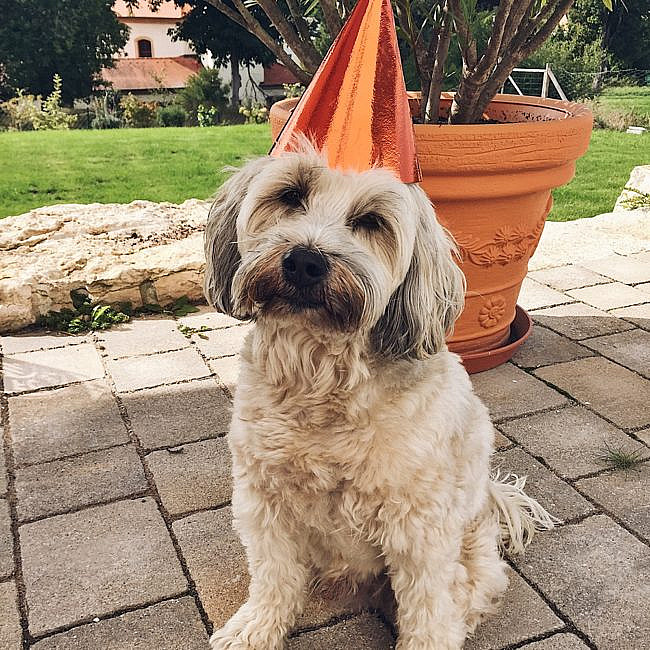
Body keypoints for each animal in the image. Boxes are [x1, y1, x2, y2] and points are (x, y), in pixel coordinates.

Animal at [203, 142, 555, 650]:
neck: (323, 378)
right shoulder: (264, 500)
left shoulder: (419, 524)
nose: (305, 262)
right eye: (291, 194)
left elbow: (427, 605)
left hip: (469, 545)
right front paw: (255, 628)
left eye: (370, 220)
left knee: (465, 594)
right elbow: (273, 575)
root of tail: (494, 498)